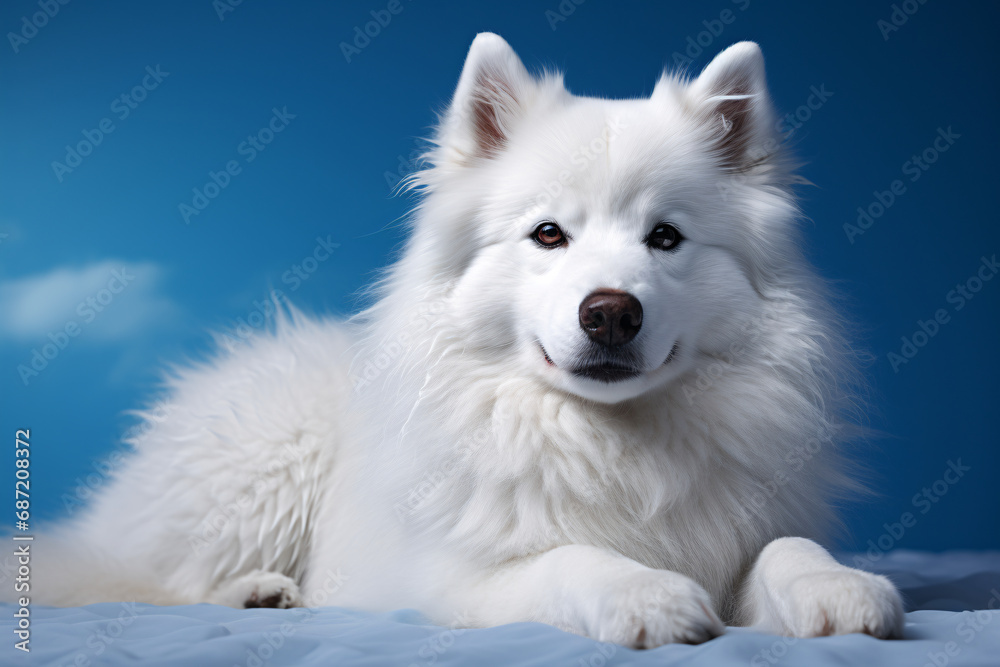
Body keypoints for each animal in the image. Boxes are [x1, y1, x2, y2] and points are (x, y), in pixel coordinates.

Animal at [31, 35, 908, 648]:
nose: (611, 313)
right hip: (268, 462)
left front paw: (840, 586)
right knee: (150, 578)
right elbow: (567, 557)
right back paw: (257, 590)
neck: (608, 439)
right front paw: (646, 594)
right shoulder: (448, 582)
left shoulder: (742, 534)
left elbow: (785, 546)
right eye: (548, 233)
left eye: (665, 237)